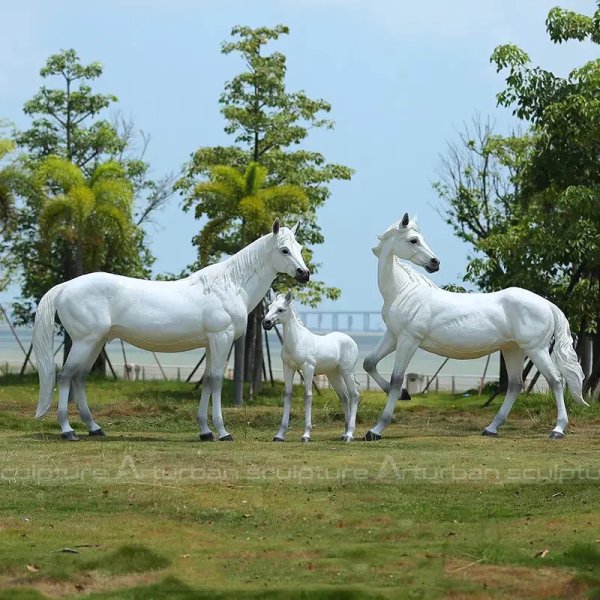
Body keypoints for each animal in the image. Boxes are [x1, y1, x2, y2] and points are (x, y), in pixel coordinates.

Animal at [32, 220, 310, 440]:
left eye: (299, 248)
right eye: (284, 250)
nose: (304, 274)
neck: (229, 284)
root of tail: (66, 286)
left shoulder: (211, 343)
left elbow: (207, 381)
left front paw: (205, 431)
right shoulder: (222, 338)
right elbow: (217, 382)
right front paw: (222, 432)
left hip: (96, 342)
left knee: (79, 378)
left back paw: (95, 428)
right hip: (84, 342)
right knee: (65, 377)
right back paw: (68, 430)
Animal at [262, 292, 360, 442]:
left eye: (280, 309)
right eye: (269, 307)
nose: (265, 323)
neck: (297, 341)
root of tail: (351, 341)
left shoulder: (308, 368)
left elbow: (308, 395)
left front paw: (306, 435)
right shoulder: (288, 368)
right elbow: (288, 394)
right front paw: (280, 434)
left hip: (346, 372)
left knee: (354, 395)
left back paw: (349, 434)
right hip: (333, 375)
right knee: (344, 396)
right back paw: (344, 433)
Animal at [360, 214, 584, 440]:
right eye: (413, 240)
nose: (435, 262)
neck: (403, 291)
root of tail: (547, 304)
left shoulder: (409, 340)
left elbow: (397, 379)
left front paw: (376, 430)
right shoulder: (393, 336)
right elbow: (369, 363)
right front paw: (404, 395)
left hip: (536, 349)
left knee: (555, 380)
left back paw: (557, 429)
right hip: (513, 349)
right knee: (515, 385)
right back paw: (491, 428)